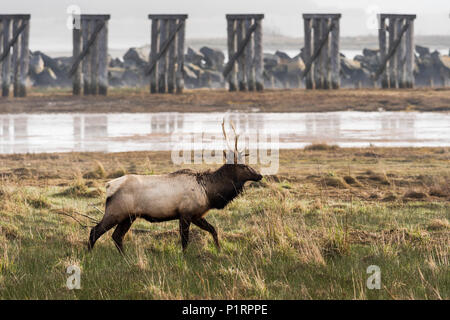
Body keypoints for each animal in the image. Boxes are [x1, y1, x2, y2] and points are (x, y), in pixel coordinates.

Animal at [88, 120, 262, 252]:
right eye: (244, 166)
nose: (259, 175)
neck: (209, 193)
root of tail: (109, 187)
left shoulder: (196, 214)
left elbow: (213, 230)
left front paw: (219, 250)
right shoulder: (185, 213)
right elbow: (185, 241)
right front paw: (185, 258)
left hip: (129, 216)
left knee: (117, 236)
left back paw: (124, 257)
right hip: (116, 211)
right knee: (95, 231)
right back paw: (89, 256)